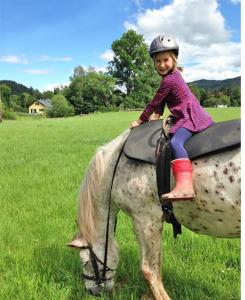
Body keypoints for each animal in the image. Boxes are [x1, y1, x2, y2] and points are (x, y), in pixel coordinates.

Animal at [68, 118, 240, 298]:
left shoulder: (146, 220)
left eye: (85, 262)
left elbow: (149, 270)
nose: (92, 291)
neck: (115, 165)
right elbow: (157, 264)